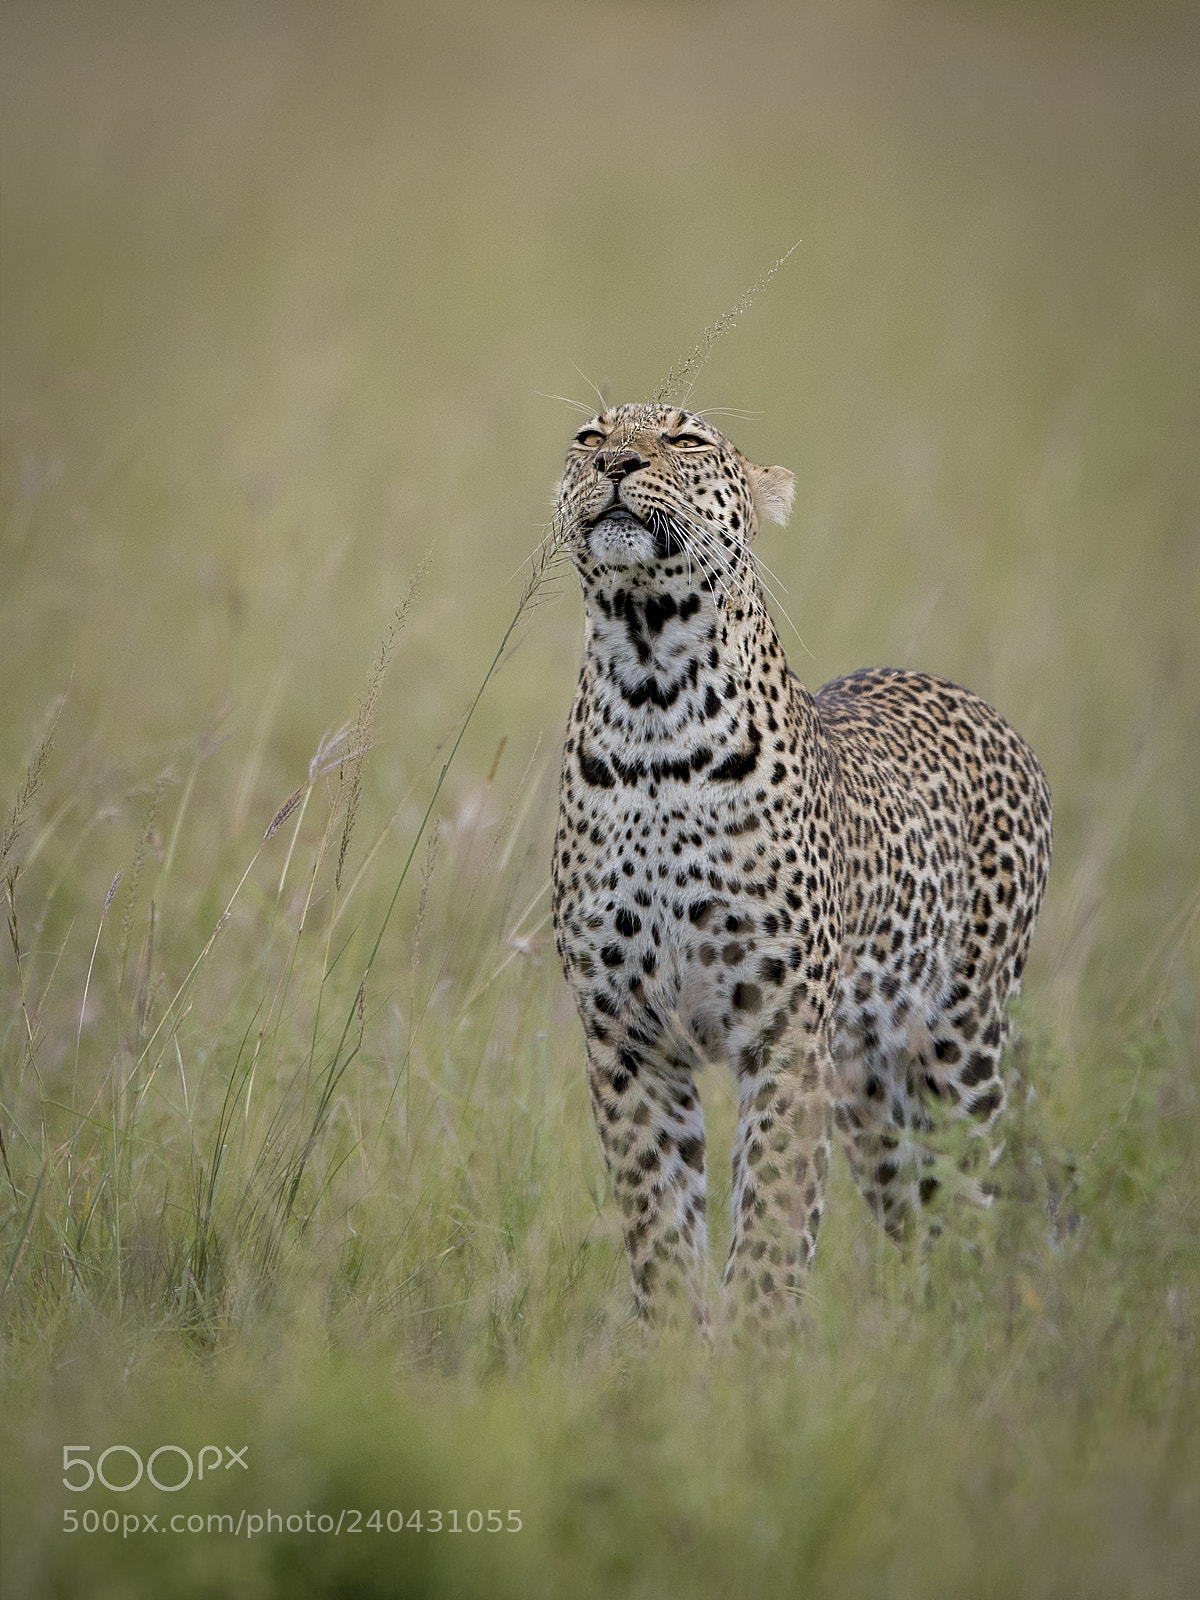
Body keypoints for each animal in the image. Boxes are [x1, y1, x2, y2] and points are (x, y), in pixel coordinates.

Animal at [550, 401, 1052, 1329]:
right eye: (589, 436)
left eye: (685, 440)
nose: (618, 463)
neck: (651, 694)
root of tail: (975, 701)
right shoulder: (628, 1038)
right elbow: (659, 1223)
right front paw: (677, 1346)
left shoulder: (783, 1039)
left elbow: (772, 1216)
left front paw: (755, 1347)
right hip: (870, 1094)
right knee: (917, 1212)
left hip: (960, 1049)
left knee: (977, 1202)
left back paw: (973, 1327)